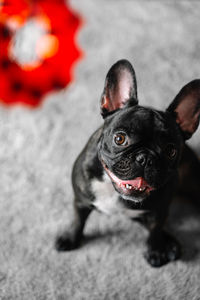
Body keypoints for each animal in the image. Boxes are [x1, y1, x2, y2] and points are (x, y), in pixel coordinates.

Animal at [55, 59, 200, 268]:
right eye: (120, 139)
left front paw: (155, 251)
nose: (145, 158)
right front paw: (70, 238)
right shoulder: (80, 201)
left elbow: (154, 231)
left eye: (170, 151)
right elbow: (77, 221)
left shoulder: (159, 212)